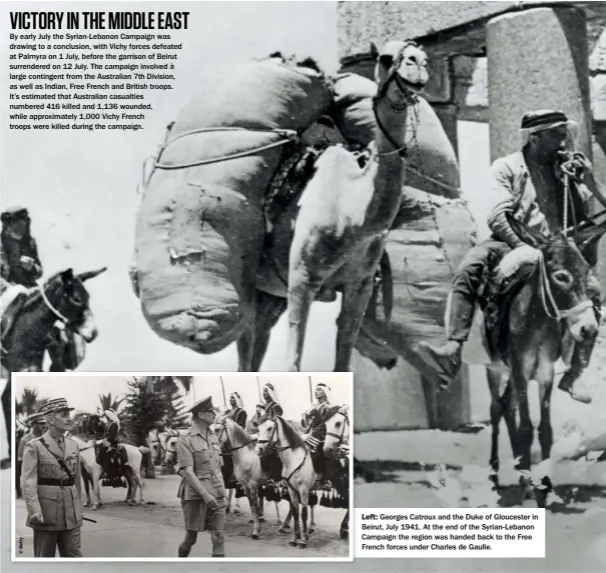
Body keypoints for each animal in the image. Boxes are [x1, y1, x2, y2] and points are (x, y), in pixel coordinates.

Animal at [258, 416, 320, 544]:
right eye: (258, 428)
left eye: (269, 428)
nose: (260, 449)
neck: (294, 460)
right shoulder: (292, 490)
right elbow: (296, 511)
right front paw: (295, 538)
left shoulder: (304, 490)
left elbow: (303, 513)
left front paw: (303, 540)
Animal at [482, 216, 604, 504]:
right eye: (561, 277)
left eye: (586, 271)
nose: (589, 329)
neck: (536, 323)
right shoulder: (520, 370)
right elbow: (527, 428)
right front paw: (529, 492)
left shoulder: (545, 372)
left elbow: (545, 430)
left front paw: (545, 485)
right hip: (494, 367)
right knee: (496, 408)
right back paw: (495, 474)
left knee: (507, 406)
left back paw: (519, 469)